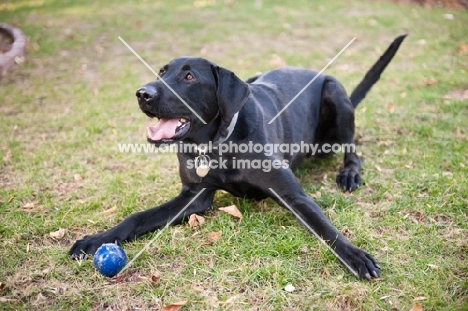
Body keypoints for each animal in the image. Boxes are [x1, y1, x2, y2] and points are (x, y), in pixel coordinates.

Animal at [69, 34, 406, 280]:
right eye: (162, 72)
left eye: (189, 77)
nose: (142, 93)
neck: (217, 145)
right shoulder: (194, 196)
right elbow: (137, 217)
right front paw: (95, 240)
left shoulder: (292, 196)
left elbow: (325, 227)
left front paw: (355, 255)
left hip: (335, 93)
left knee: (352, 148)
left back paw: (349, 173)